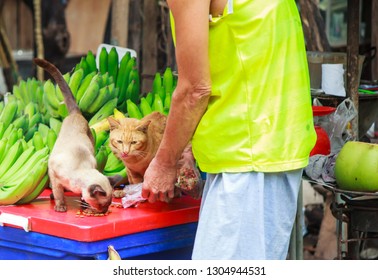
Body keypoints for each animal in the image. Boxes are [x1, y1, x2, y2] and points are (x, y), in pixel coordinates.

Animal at [34, 58, 120, 213]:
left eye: (109, 204)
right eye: (102, 205)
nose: (104, 211)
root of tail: (76, 114)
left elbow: (82, 196)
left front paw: (84, 207)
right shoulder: (55, 177)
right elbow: (59, 193)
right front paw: (61, 207)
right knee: (55, 191)